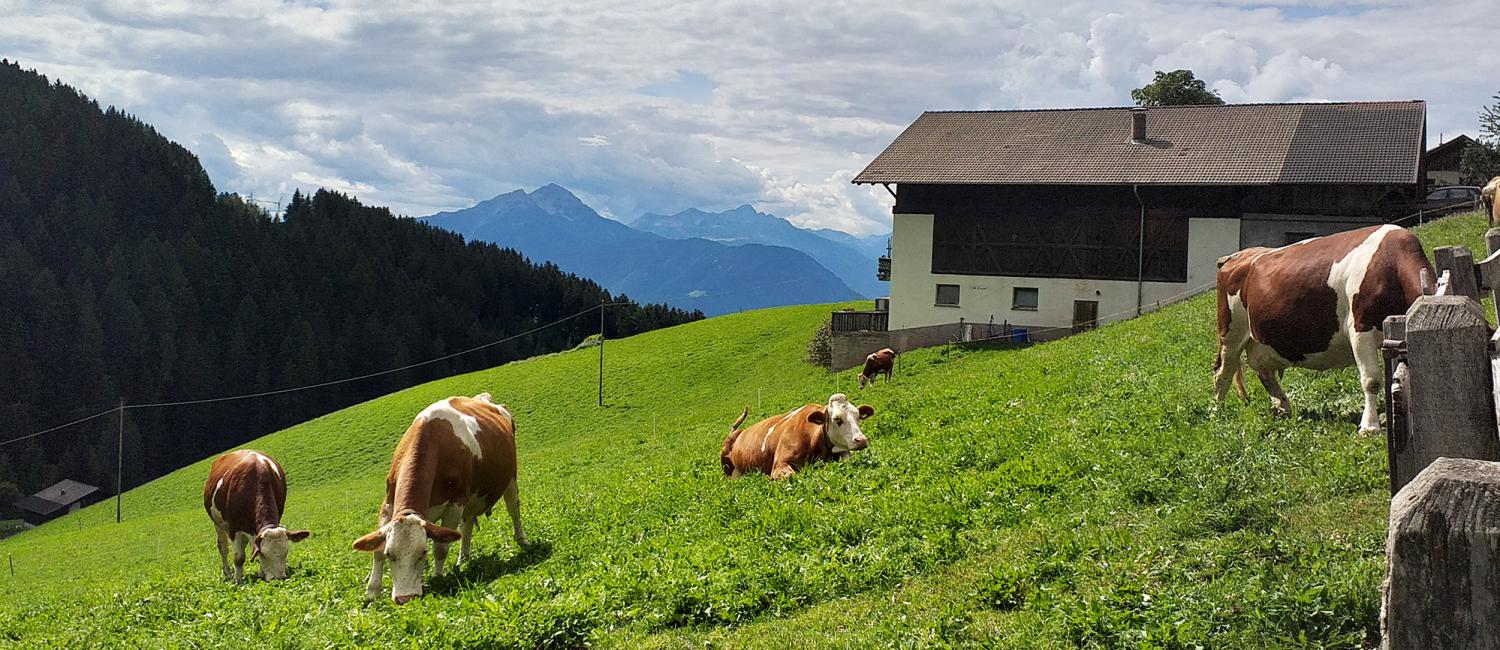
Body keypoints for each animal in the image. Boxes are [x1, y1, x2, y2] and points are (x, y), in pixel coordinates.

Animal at [202, 450, 310, 582]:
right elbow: (239, 557)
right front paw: (238, 580)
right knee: (223, 548)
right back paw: (227, 573)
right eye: (263, 554)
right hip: (218, 523)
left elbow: (253, 549)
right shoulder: (234, 528)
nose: (278, 578)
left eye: (286, 552)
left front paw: (261, 573)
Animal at [352, 393, 528, 606]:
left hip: (510, 479)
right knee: (467, 525)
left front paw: (437, 577)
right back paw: (464, 558)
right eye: (389, 554)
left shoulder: (454, 504)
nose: (405, 598)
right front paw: (373, 591)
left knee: (513, 510)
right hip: (471, 499)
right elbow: (376, 551)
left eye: (423, 553)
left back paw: (522, 540)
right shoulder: (388, 504)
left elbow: (440, 548)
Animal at [717, 393, 876, 477]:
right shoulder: (779, 464)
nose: (861, 440)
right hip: (725, 468)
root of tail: (737, 432)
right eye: (837, 419)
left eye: (858, 416)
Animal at [1206, 225, 1428, 432]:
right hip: (1231, 332)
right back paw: (1217, 412)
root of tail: (1237, 256)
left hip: (1259, 337)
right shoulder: (1360, 327)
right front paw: (1370, 426)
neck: (1389, 264)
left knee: (1263, 369)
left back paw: (1283, 408)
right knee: (1222, 371)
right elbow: (1371, 380)